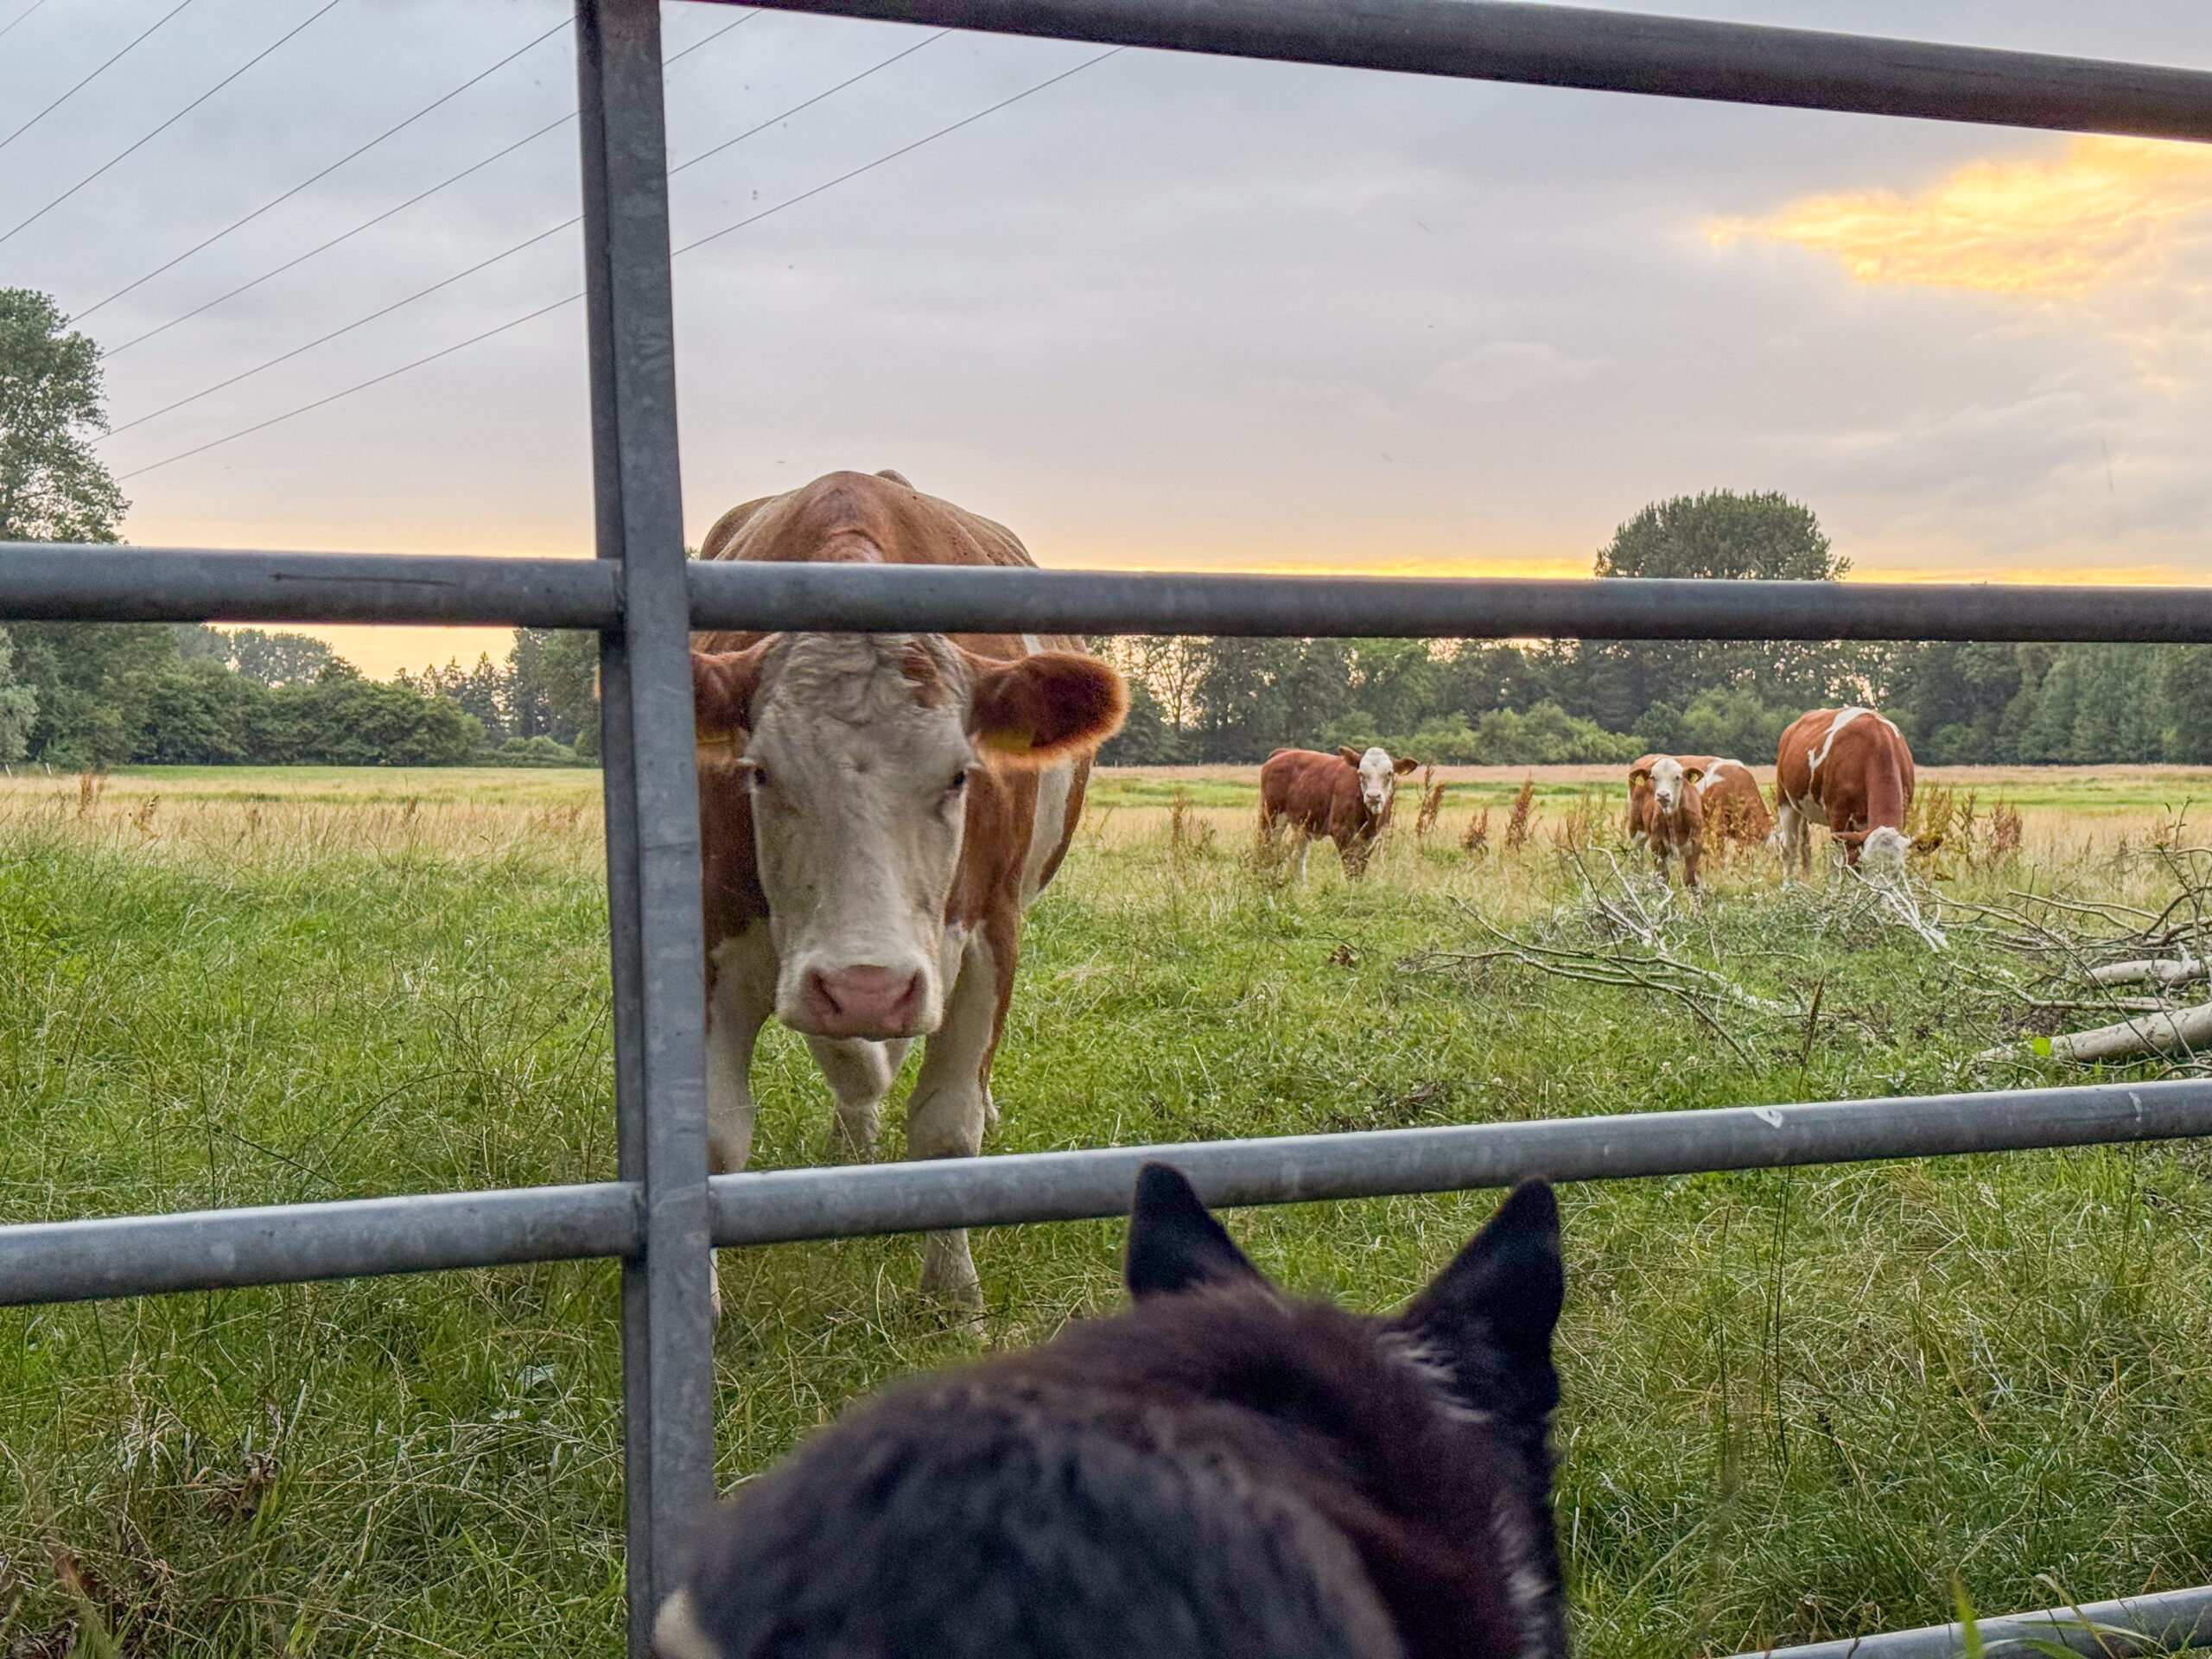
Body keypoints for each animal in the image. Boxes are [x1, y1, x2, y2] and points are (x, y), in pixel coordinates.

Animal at [689, 470, 1126, 1304]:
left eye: (960, 775)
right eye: (760, 773)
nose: (868, 985)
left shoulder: (990, 937)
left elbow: (947, 1127)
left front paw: (954, 1292)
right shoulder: (712, 937)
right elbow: (721, 1133)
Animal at [1258, 746, 1419, 879]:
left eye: (1389, 773)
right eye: (1361, 773)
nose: (1373, 796)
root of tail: (1283, 752)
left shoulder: (1370, 838)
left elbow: (1360, 868)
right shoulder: (1341, 831)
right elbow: (1350, 868)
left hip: (1301, 824)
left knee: (1298, 857)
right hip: (1270, 817)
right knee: (1267, 851)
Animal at [1626, 753, 1705, 887]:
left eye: (1677, 777)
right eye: (1653, 777)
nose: (1663, 795)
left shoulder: (1696, 843)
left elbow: (1691, 878)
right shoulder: (1657, 844)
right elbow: (1662, 878)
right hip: (1635, 830)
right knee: (1636, 865)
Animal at [1772, 706, 1917, 877]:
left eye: (1897, 872)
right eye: (1868, 865)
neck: (1877, 747)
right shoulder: (1839, 818)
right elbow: (1841, 866)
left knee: (1804, 846)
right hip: (1785, 800)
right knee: (1789, 849)